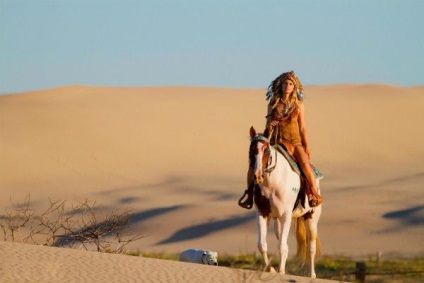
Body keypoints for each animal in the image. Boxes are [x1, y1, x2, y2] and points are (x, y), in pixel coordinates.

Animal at [248, 126, 322, 278]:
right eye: (251, 150)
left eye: (267, 150)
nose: (257, 176)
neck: (273, 182)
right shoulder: (262, 214)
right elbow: (262, 245)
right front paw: (271, 269)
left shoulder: (286, 215)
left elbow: (282, 246)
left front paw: (281, 271)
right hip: (278, 221)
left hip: (311, 218)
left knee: (311, 246)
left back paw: (312, 275)